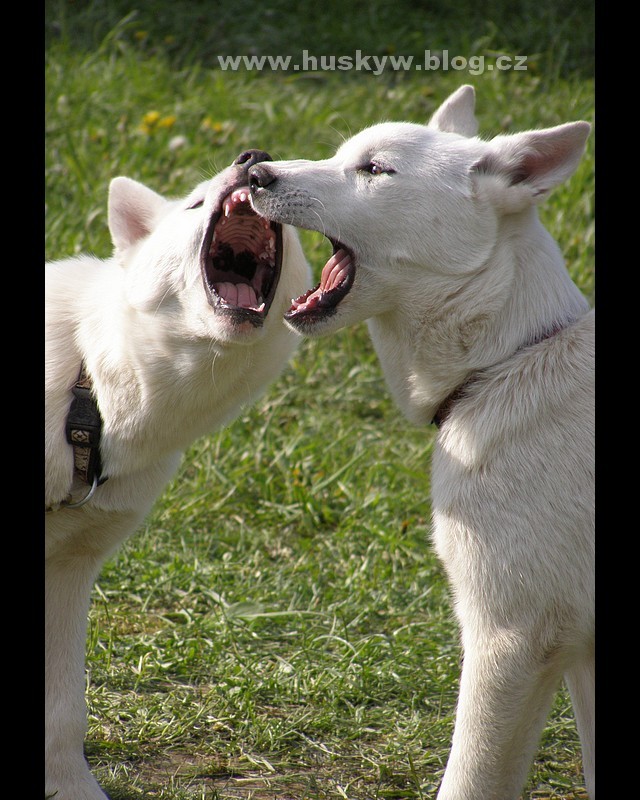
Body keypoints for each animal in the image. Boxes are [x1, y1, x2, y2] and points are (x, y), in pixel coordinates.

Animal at [249, 84, 596, 796]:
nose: (253, 174)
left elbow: (467, 779)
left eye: (375, 169)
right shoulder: (575, 656)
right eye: (341, 154)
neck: (503, 362)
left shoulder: (510, 640)